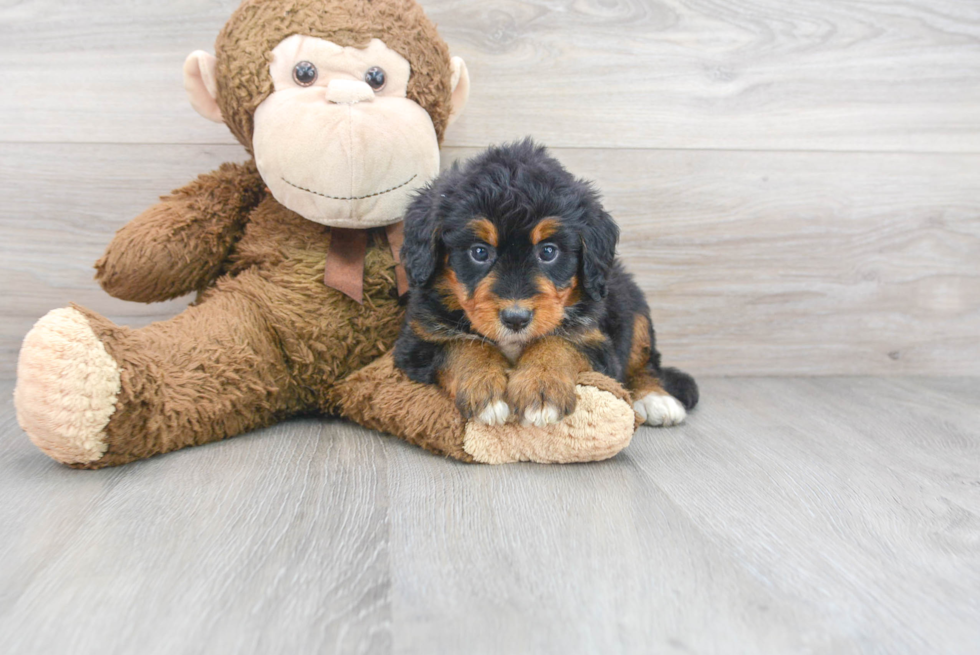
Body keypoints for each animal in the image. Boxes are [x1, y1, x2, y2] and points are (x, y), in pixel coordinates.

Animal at [392, 139, 696, 428]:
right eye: (479, 252)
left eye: (548, 251)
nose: (516, 319)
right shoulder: (418, 340)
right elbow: (463, 346)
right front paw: (485, 387)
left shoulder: (594, 341)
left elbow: (556, 343)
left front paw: (541, 388)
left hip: (634, 307)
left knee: (646, 361)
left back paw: (656, 398)